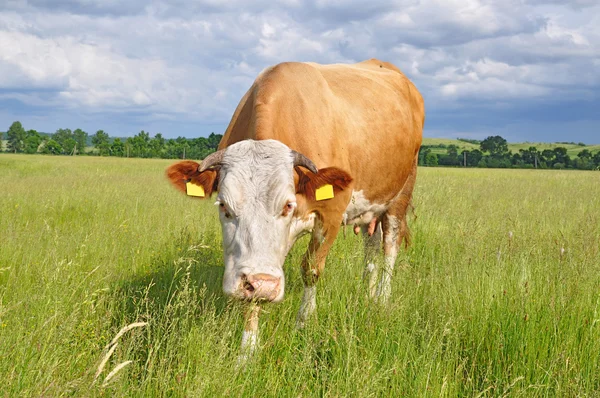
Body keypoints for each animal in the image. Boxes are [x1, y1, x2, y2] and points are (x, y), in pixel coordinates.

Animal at [166, 57, 424, 360]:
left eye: (287, 205)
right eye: (223, 206)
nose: (261, 282)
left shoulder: (331, 215)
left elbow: (311, 269)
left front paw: (304, 322)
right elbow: (255, 291)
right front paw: (247, 350)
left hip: (401, 193)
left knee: (389, 245)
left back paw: (382, 299)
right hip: (371, 205)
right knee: (370, 247)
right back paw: (367, 294)